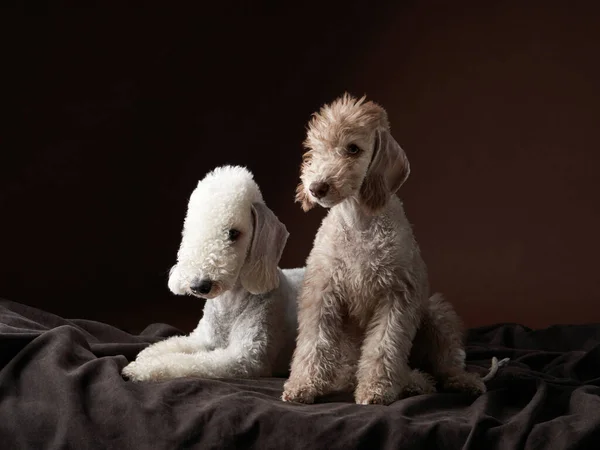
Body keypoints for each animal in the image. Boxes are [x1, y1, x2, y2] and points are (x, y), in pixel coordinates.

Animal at [122, 167, 302, 382]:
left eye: (233, 233)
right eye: (190, 229)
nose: (199, 286)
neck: (229, 304)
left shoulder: (245, 358)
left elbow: (188, 363)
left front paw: (141, 368)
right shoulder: (203, 339)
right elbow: (175, 343)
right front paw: (147, 354)